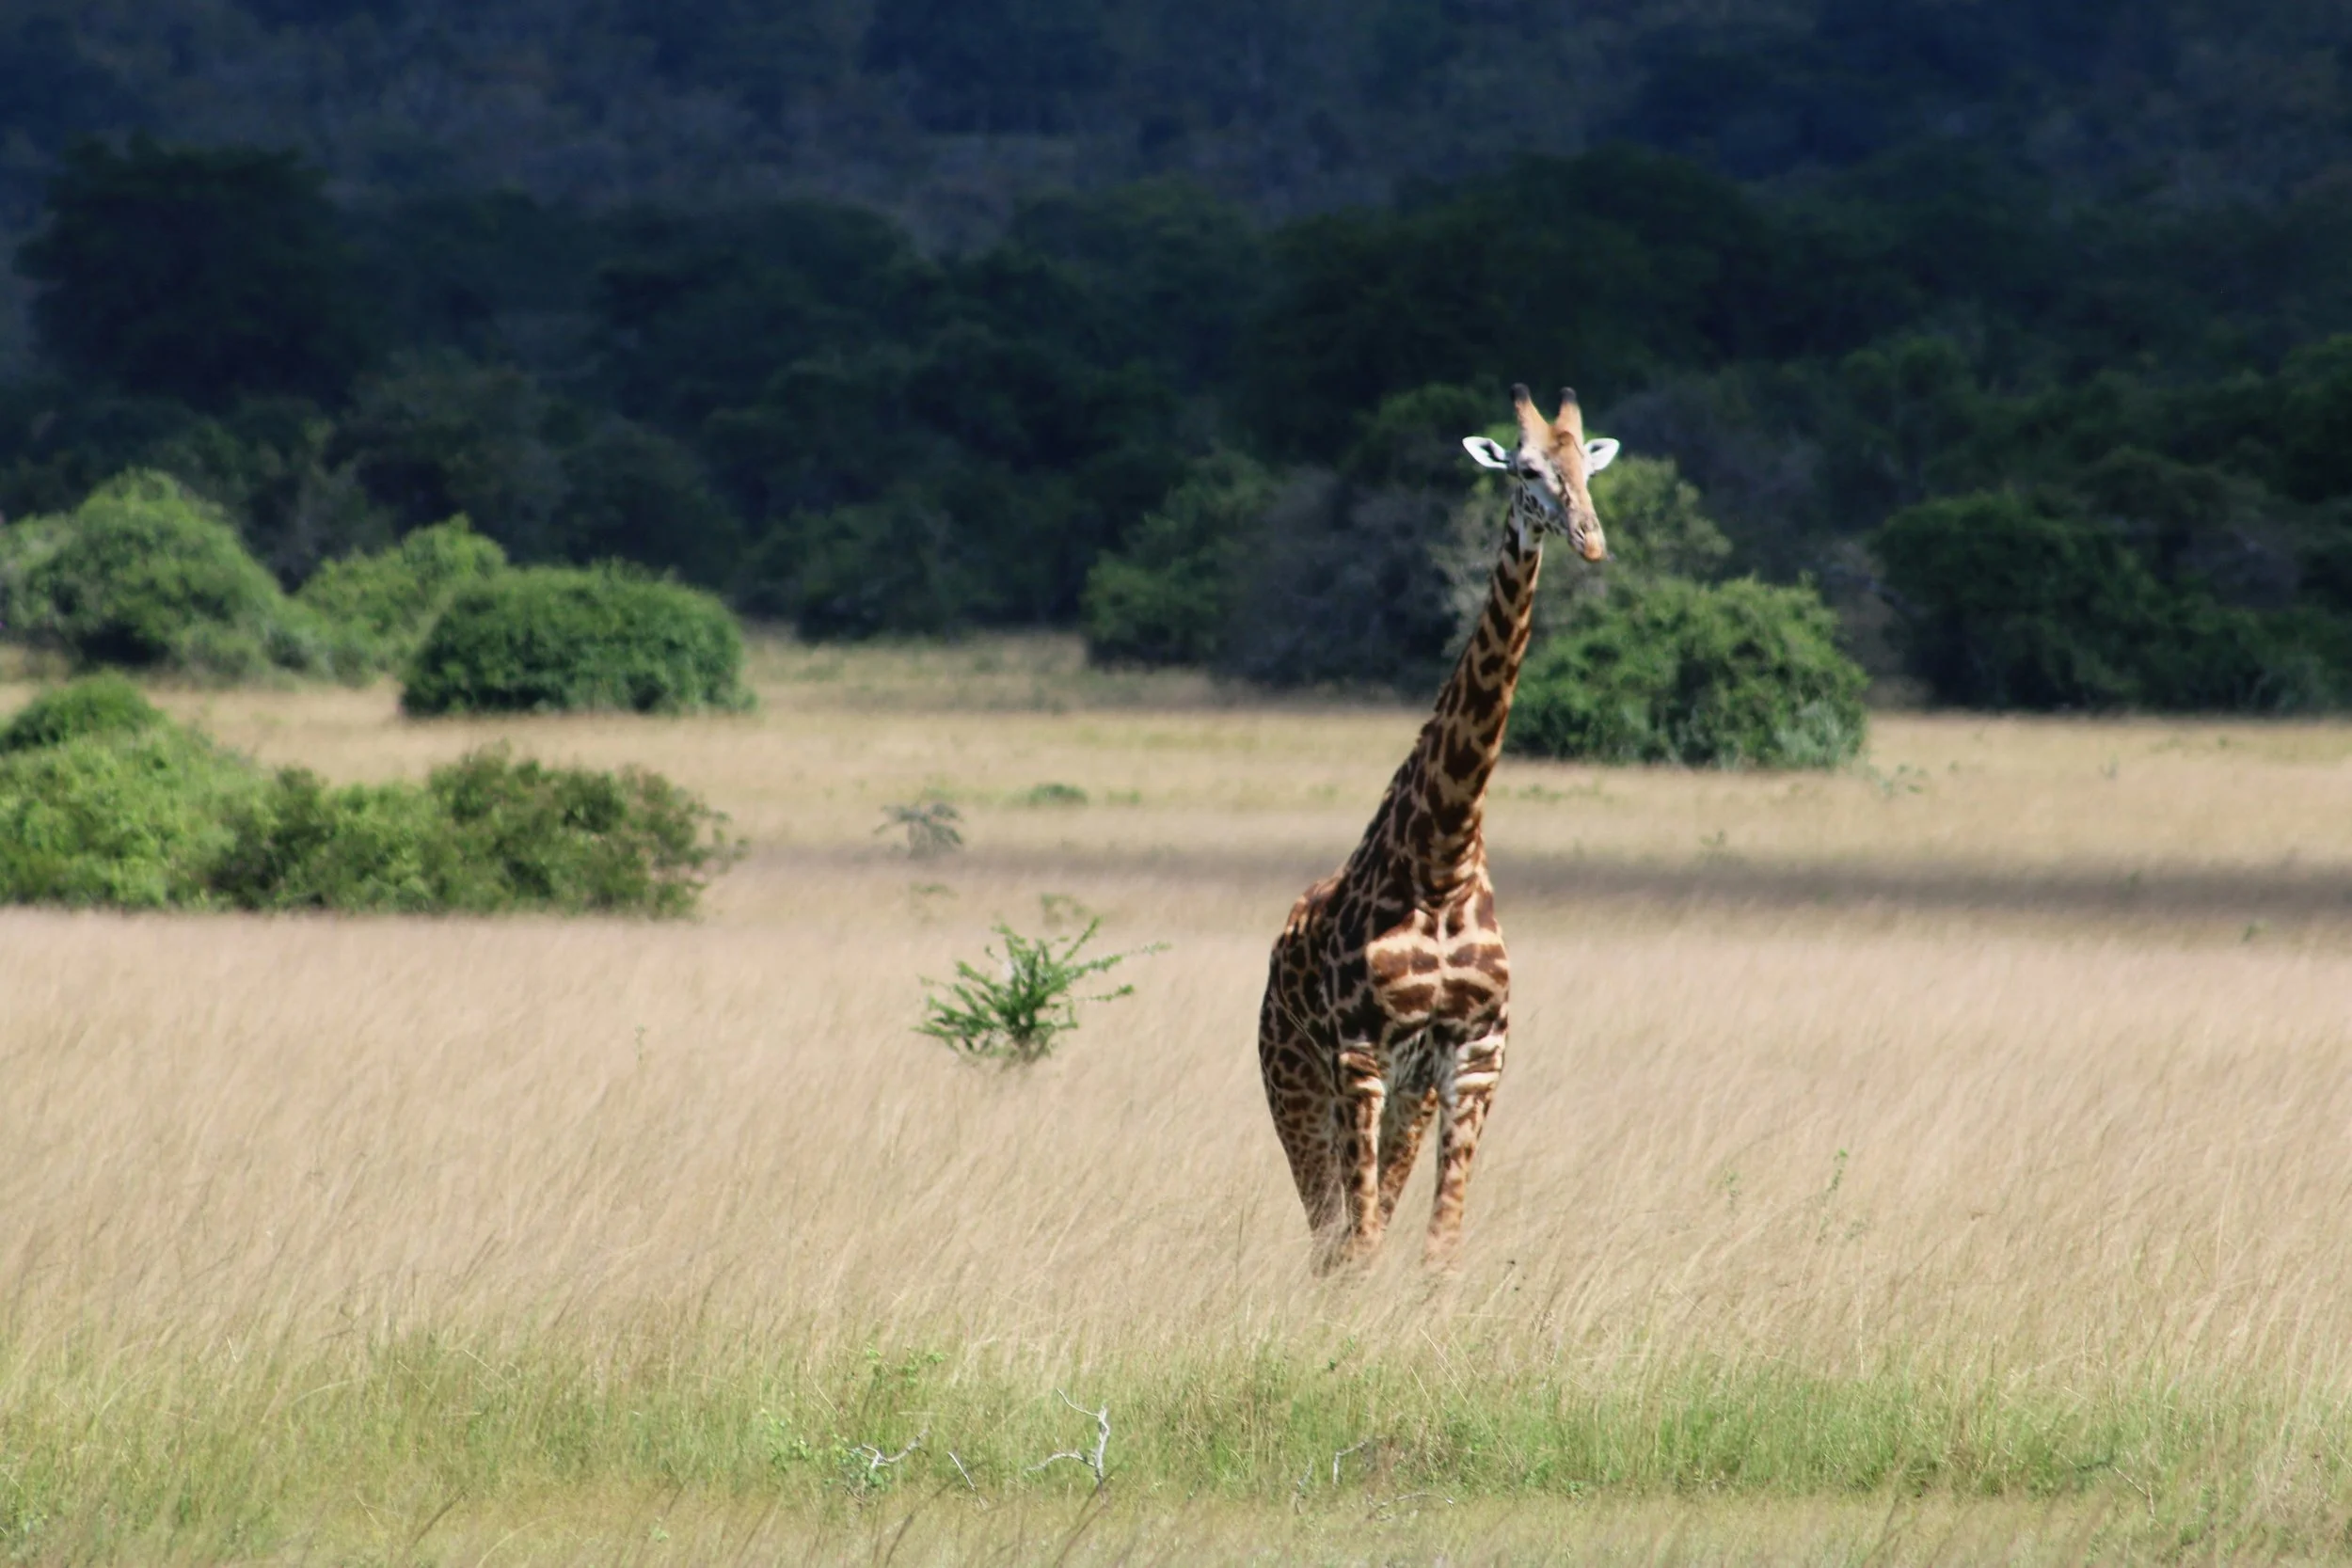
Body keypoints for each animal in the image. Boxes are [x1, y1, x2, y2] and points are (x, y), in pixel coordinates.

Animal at [1257, 384, 1618, 1272]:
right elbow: (1362, 1241)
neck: (1444, 859)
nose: (1590, 541)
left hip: (1405, 1096)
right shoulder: (1359, 1055)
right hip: (1296, 1083)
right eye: (1524, 469)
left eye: (1586, 466)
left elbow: (1437, 1246)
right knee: (1329, 1233)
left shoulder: (1473, 1057)